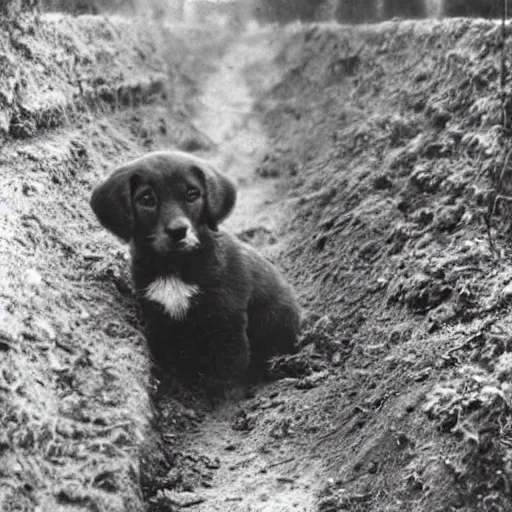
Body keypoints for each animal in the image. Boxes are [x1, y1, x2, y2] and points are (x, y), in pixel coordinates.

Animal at [90, 150, 302, 386]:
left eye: (192, 194)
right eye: (147, 199)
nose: (178, 231)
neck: (175, 267)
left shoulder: (227, 328)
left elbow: (226, 382)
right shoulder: (159, 325)